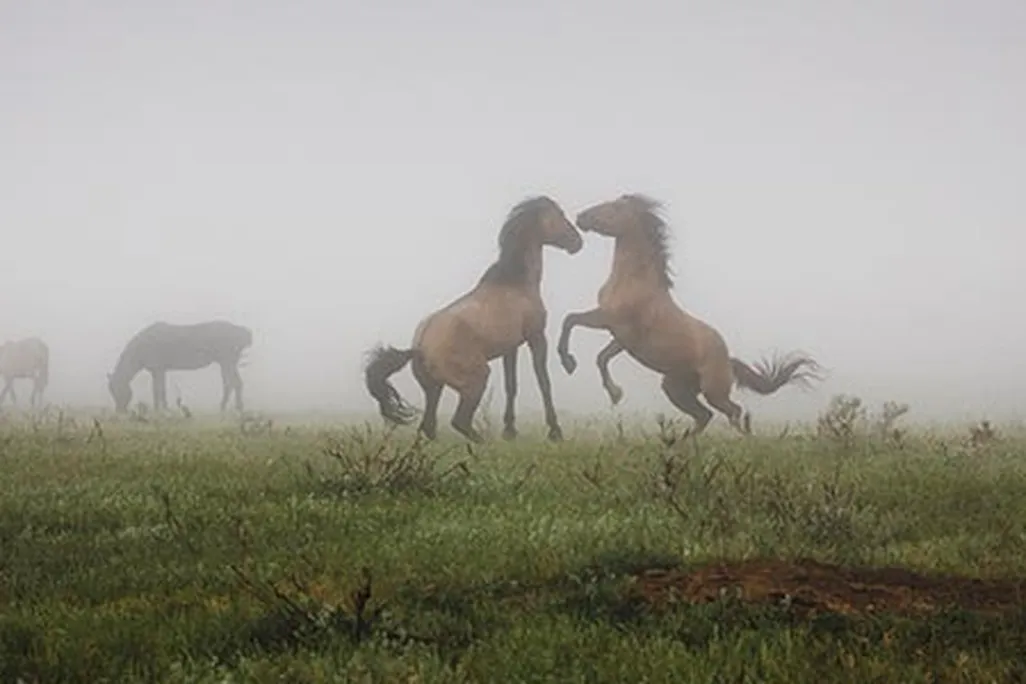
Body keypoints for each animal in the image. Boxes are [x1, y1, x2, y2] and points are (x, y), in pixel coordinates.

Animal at [107, 320, 253, 414]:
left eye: (117, 389)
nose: (119, 411)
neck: (142, 345)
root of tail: (242, 331)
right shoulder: (158, 371)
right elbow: (159, 390)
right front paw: (160, 409)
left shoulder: (158, 370)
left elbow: (159, 390)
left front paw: (161, 410)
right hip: (227, 363)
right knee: (234, 384)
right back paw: (231, 407)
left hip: (227, 362)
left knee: (232, 383)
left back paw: (228, 408)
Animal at [364, 196, 584, 443]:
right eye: (560, 215)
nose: (577, 242)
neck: (515, 284)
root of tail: (419, 347)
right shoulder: (536, 337)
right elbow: (544, 382)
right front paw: (555, 431)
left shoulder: (511, 348)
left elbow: (511, 385)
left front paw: (510, 431)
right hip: (476, 380)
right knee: (459, 421)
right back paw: (486, 443)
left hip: (434, 389)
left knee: (428, 426)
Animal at [556, 194, 822, 435]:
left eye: (614, 207)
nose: (581, 217)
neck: (634, 281)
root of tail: (728, 358)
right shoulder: (613, 329)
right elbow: (576, 327)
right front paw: (574, 366)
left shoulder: (619, 330)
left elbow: (592, 347)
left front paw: (609, 389)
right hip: (676, 388)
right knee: (704, 415)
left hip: (713, 391)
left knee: (731, 411)